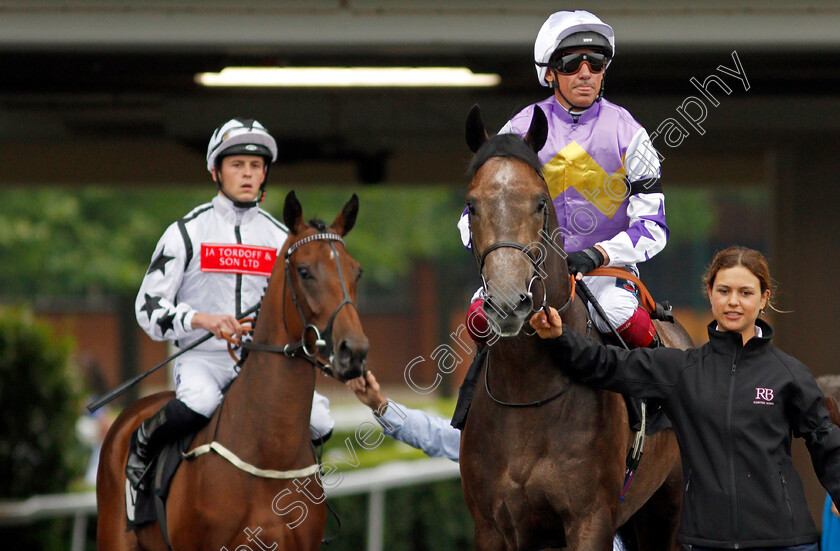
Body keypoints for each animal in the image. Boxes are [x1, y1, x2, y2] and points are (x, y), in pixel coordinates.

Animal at [462, 104, 692, 551]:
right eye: (472, 205)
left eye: (539, 203)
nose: (508, 302)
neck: (527, 393)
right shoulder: (491, 526)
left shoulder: (590, 518)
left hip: (668, 509)